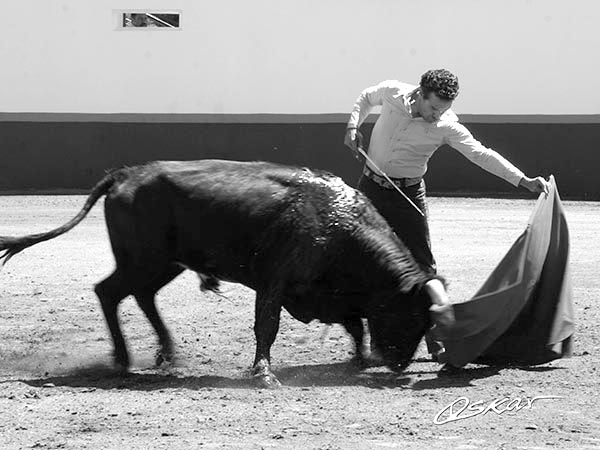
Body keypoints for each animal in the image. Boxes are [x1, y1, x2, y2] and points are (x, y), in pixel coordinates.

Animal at [0, 161, 450, 386]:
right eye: (411, 314)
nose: (399, 364)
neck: (339, 225)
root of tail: (126, 174)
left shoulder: (325, 293)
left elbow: (354, 323)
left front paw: (358, 358)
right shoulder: (275, 282)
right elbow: (266, 326)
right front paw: (264, 375)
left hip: (163, 264)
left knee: (140, 296)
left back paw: (166, 354)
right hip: (143, 259)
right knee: (109, 292)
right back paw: (124, 360)